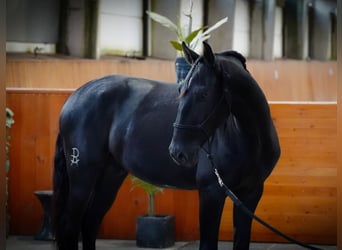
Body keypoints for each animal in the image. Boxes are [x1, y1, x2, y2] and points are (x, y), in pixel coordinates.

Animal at [52, 42, 280, 249]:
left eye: (204, 94)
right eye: (180, 89)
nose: (178, 152)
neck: (249, 139)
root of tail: (75, 96)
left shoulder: (250, 194)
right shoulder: (211, 192)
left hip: (110, 176)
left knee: (90, 222)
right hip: (82, 177)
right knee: (70, 225)